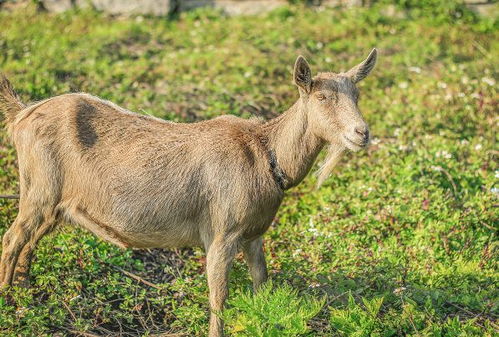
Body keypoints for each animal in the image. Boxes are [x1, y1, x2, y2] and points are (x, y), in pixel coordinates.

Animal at [0, 50, 376, 336]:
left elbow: (261, 283)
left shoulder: (254, 235)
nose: (362, 133)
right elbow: (219, 298)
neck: (265, 156)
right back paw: (8, 302)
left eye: (357, 95)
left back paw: (27, 294)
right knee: (13, 237)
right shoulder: (222, 233)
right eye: (322, 97)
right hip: (39, 188)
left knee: (31, 240)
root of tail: (21, 114)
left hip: (55, 202)